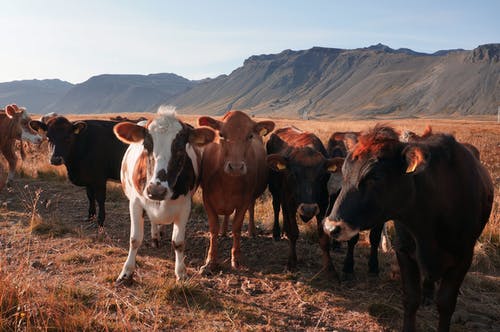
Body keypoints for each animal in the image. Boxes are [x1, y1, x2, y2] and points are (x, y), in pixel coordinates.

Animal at [113, 107, 215, 284]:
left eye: (180, 148)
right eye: (146, 145)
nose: (156, 190)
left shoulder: (185, 206)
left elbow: (178, 242)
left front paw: (181, 273)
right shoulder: (135, 203)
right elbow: (135, 239)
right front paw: (126, 272)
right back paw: (155, 237)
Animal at [198, 110, 276, 274]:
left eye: (250, 136)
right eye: (221, 134)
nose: (236, 167)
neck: (228, 183)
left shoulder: (244, 201)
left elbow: (237, 227)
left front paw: (237, 259)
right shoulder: (207, 199)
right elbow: (213, 229)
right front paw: (210, 262)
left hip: (252, 197)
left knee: (251, 210)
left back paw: (252, 231)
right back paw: (223, 231)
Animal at [266, 126, 340, 276]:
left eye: (322, 175)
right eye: (294, 174)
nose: (308, 209)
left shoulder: (323, 205)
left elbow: (323, 238)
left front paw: (329, 268)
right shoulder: (290, 202)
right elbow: (293, 233)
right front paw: (291, 262)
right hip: (274, 189)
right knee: (276, 207)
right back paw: (276, 232)